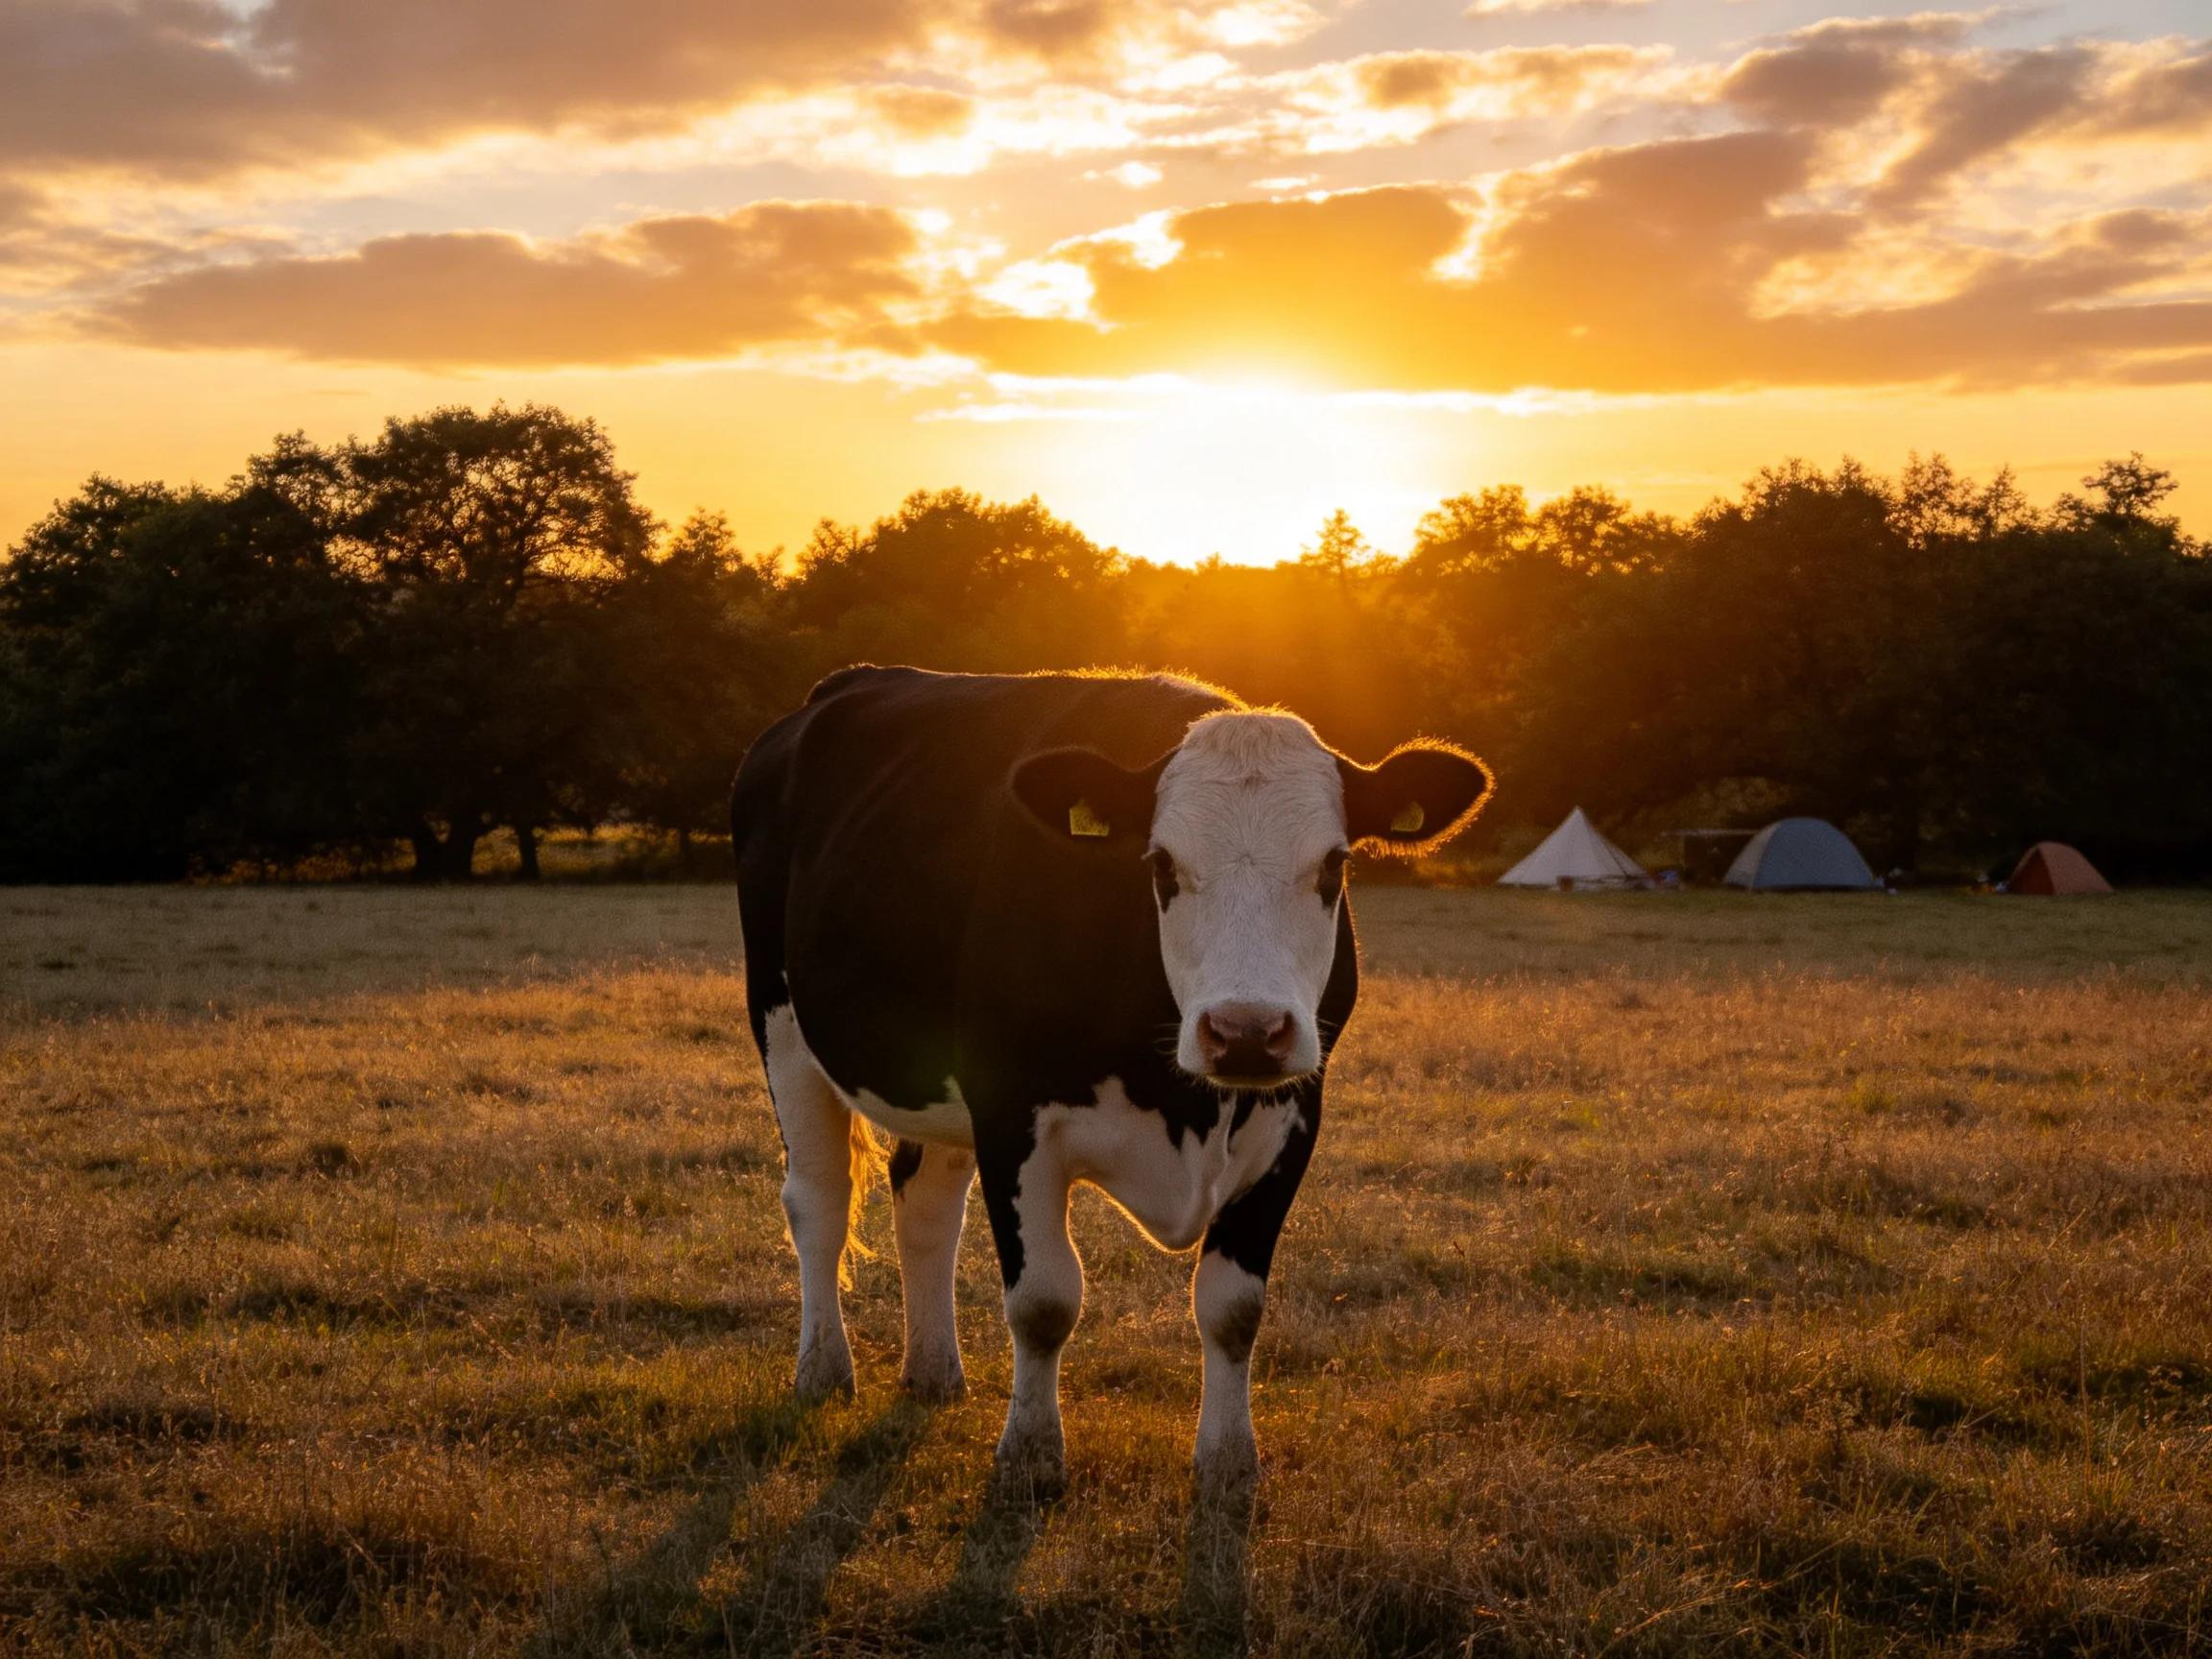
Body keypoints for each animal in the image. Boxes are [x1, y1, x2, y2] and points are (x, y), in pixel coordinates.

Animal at [730, 666, 1490, 1496]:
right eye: (1160, 865)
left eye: (1334, 864)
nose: (1246, 1031)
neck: (1186, 1105)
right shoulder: (1012, 1111)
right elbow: (1043, 1301)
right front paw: (1031, 1454)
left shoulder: (1294, 1118)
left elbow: (1233, 1308)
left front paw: (1228, 1461)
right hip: (782, 1024)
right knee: (820, 1202)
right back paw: (823, 1370)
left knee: (924, 1202)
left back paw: (932, 1371)